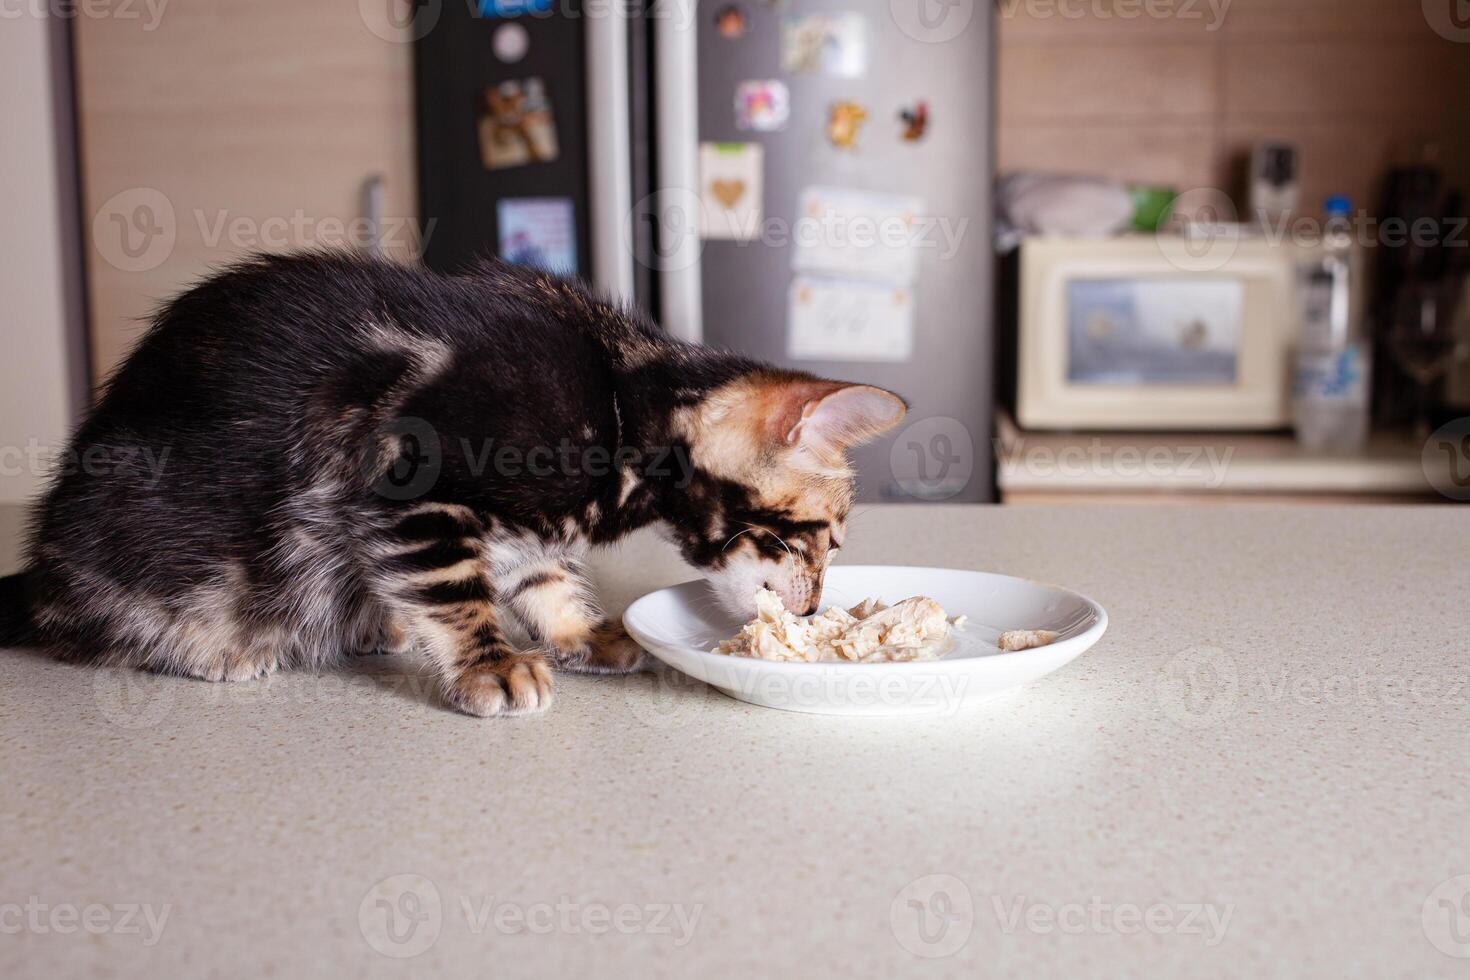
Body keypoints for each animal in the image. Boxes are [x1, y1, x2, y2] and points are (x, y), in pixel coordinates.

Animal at [0, 251, 905, 714]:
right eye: (822, 538)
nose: (815, 609)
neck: (620, 395)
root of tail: (41, 561)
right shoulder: (408, 475)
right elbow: (453, 585)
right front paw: (491, 662)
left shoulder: (526, 526)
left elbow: (542, 572)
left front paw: (579, 630)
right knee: (87, 622)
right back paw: (212, 649)